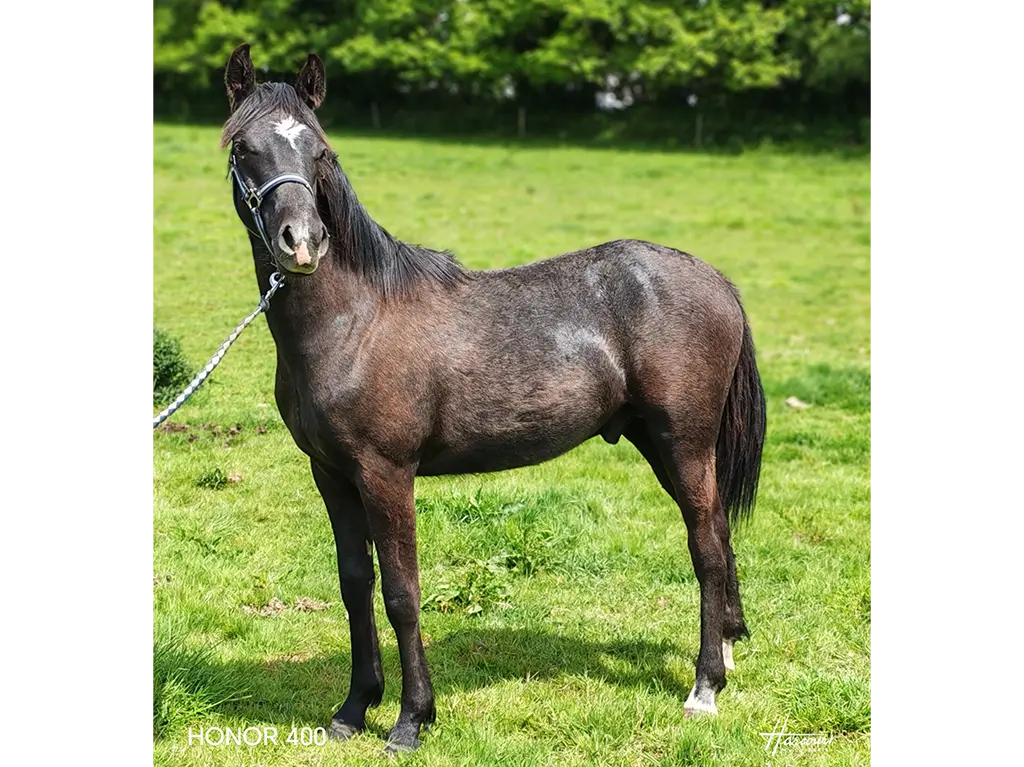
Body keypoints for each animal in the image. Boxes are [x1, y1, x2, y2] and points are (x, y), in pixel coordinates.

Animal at [217, 43, 766, 752]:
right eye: (244, 147)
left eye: (322, 151)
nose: (302, 242)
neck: (354, 320)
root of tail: (716, 279)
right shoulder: (331, 474)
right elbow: (355, 583)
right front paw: (353, 709)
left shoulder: (386, 473)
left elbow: (402, 592)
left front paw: (411, 720)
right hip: (663, 443)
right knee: (720, 531)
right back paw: (726, 654)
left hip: (684, 443)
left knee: (705, 547)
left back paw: (704, 688)